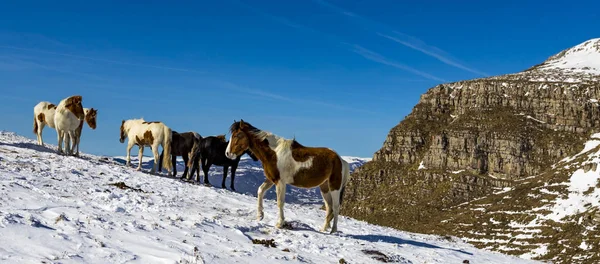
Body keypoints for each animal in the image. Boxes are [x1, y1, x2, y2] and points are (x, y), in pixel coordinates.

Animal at [224, 119, 352, 233]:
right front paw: (260, 215)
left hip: (334, 187)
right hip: (324, 187)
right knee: (329, 207)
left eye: (237, 135)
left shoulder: (280, 182)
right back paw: (324, 228)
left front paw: (279, 223)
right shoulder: (272, 179)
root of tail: (340, 160)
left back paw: (334, 230)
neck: (274, 153)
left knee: (336, 206)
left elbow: (280, 202)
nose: (227, 153)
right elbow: (260, 190)